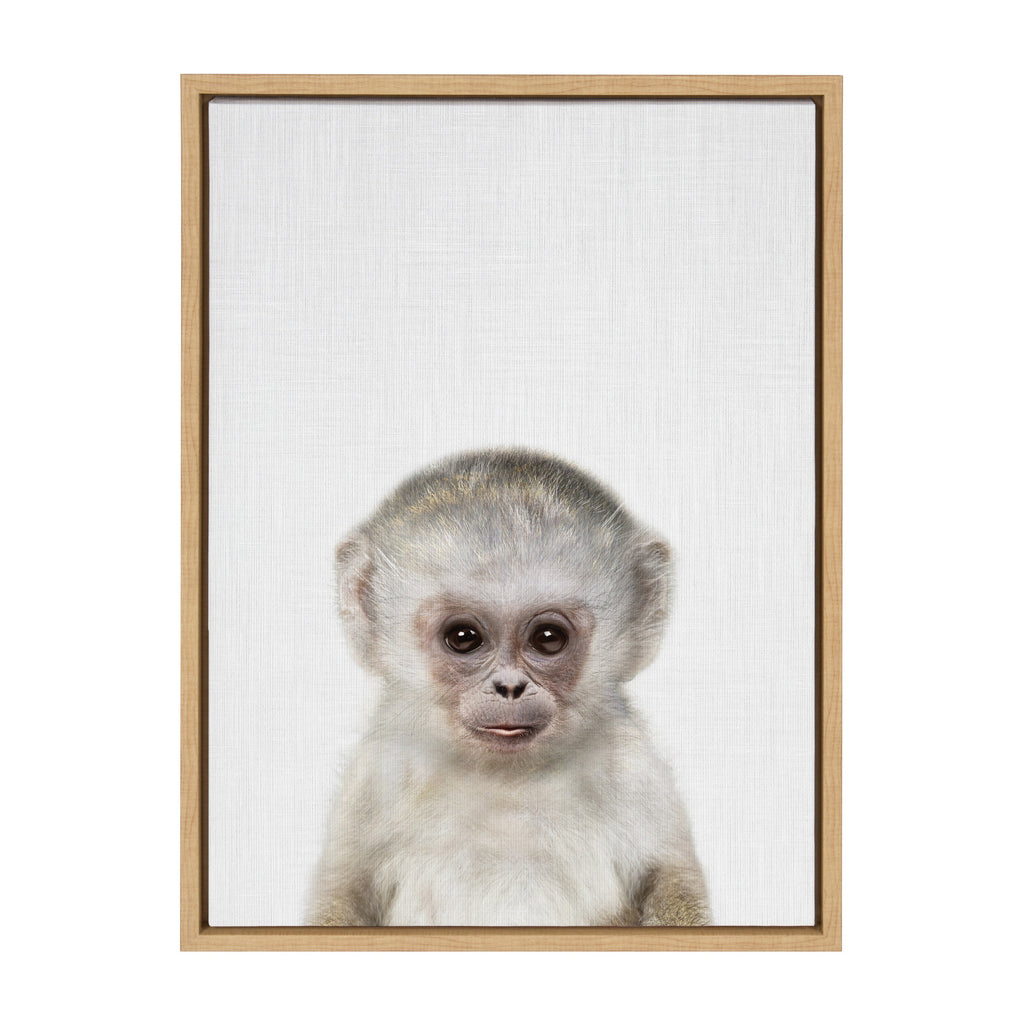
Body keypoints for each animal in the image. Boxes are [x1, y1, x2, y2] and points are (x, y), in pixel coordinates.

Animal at [308, 448, 709, 927]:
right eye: (463, 638)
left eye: (548, 638)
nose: (510, 687)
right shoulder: (377, 772)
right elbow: (342, 894)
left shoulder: (634, 768)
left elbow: (672, 880)